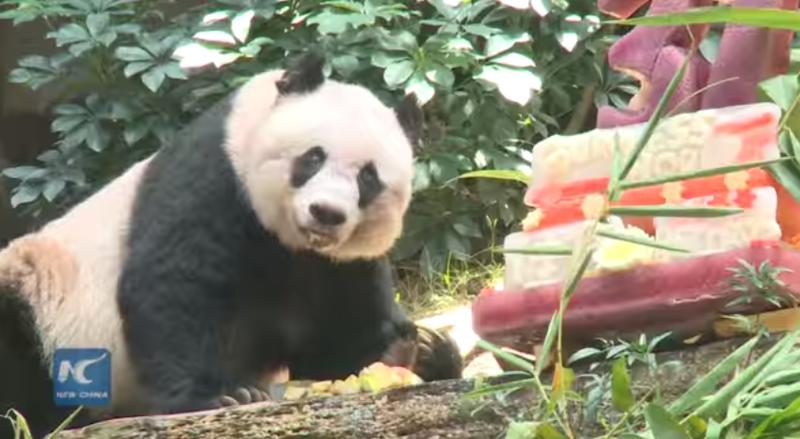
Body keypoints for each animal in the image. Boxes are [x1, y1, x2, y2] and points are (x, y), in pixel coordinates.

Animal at [0, 52, 462, 438]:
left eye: (368, 177)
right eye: (313, 158)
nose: (327, 213)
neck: (287, 240)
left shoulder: (339, 264)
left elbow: (334, 341)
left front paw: (421, 349)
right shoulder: (215, 175)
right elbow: (174, 281)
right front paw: (217, 396)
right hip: (42, 301)